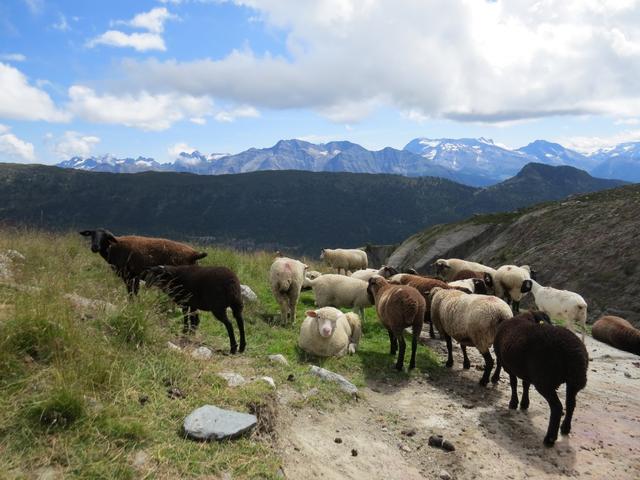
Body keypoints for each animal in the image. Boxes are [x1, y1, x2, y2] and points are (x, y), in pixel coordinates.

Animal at [492, 312, 588, 446]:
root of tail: (576, 353)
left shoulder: (510, 368)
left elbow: (514, 383)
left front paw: (513, 403)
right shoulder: (526, 371)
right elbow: (525, 384)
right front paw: (524, 403)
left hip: (545, 381)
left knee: (557, 407)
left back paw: (550, 439)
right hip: (572, 383)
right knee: (570, 404)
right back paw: (565, 428)